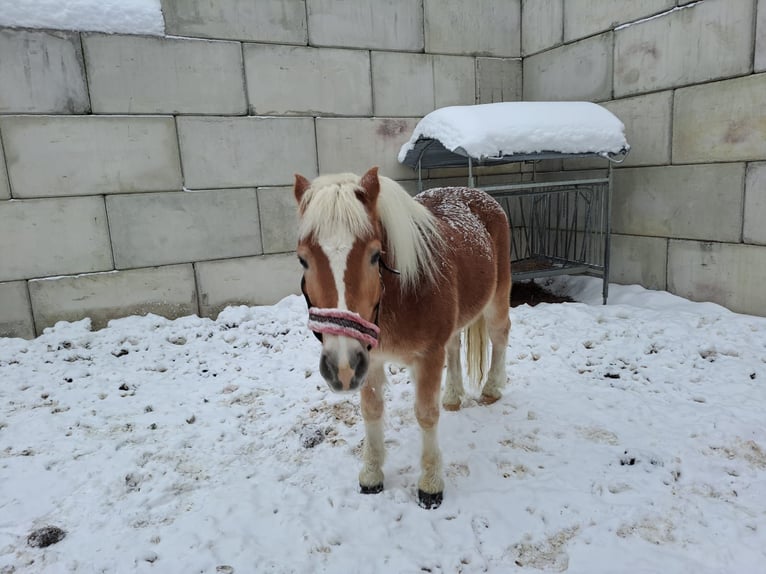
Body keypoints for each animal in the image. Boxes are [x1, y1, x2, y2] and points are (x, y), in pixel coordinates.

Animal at [296, 165, 512, 508]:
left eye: (375, 255)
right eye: (303, 259)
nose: (340, 367)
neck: (400, 293)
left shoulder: (427, 357)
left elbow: (425, 415)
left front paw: (431, 484)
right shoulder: (368, 360)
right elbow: (371, 411)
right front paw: (371, 475)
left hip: (497, 299)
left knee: (500, 336)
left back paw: (491, 389)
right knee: (455, 347)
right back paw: (452, 396)